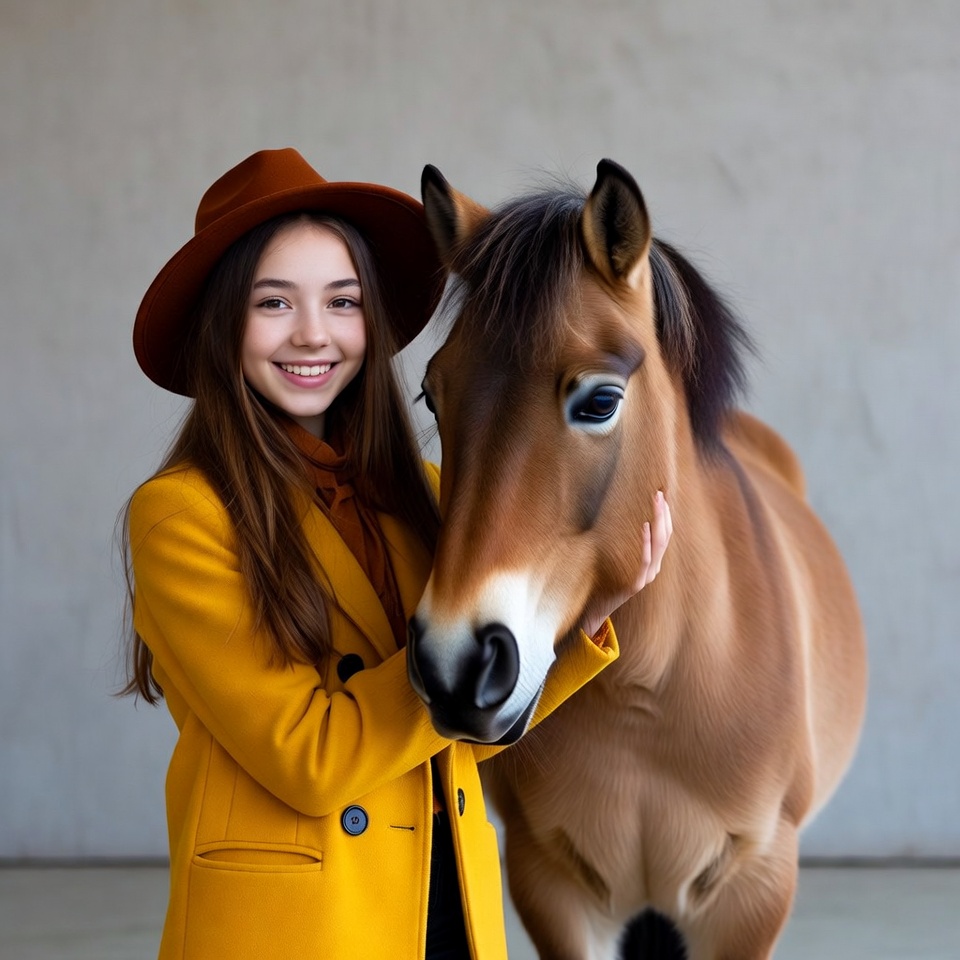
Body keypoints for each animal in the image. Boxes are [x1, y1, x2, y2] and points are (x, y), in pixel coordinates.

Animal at [406, 158, 867, 959]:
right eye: (433, 396)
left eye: (599, 401)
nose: (455, 665)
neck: (650, 696)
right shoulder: (551, 884)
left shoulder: (751, 893)